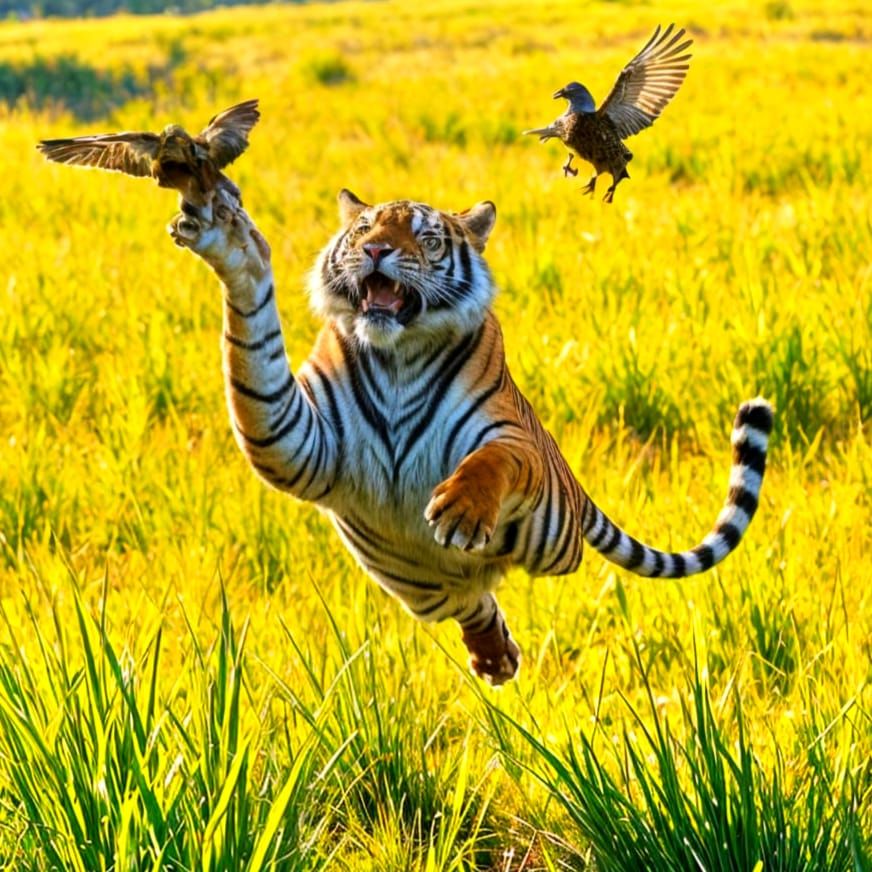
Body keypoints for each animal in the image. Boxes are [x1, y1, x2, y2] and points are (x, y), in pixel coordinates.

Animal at [168, 187, 773, 685]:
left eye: (425, 236)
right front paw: (233, 247)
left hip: (551, 534)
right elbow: (254, 354)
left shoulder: (508, 437)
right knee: (471, 600)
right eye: (364, 230)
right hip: (415, 582)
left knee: (544, 559)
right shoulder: (295, 438)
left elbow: (492, 462)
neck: (398, 355)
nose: (376, 251)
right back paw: (494, 657)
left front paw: (460, 512)